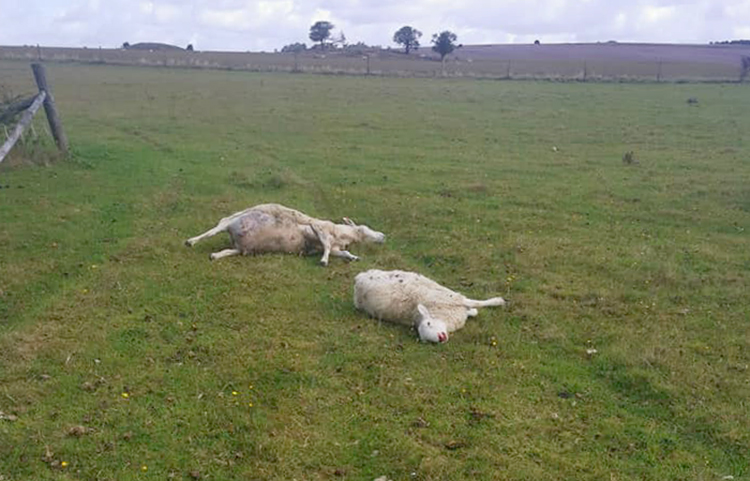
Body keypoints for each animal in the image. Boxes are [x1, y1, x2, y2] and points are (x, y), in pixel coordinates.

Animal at [185, 203, 386, 265]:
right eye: (364, 228)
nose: (384, 236)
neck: (341, 234)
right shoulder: (315, 227)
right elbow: (326, 244)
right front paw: (324, 261)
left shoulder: (333, 245)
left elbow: (340, 251)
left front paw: (353, 257)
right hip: (231, 220)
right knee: (213, 230)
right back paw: (191, 241)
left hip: (242, 248)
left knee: (230, 250)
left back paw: (215, 255)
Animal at [353, 269, 506, 343]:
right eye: (425, 340)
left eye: (428, 323)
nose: (440, 338)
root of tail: (358, 280)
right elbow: (474, 306)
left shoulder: (452, 298)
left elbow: (477, 303)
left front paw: (498, 301)